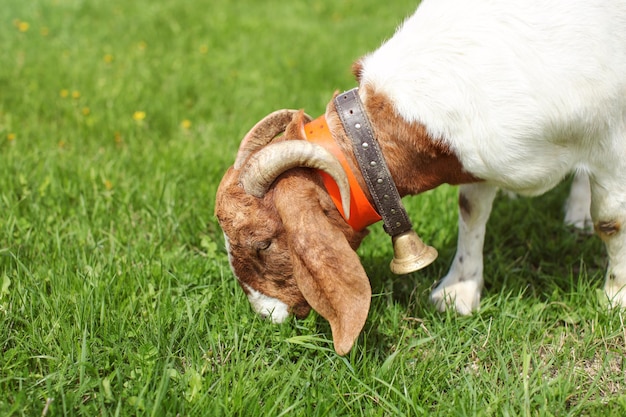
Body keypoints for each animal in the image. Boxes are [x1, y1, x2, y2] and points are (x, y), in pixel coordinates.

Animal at [216, 0, 624, 354]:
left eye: (263, 244)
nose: (264, 314)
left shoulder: (612, 141)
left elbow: (611, 221)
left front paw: (615, 299)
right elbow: (471, 208)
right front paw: (458, 291)